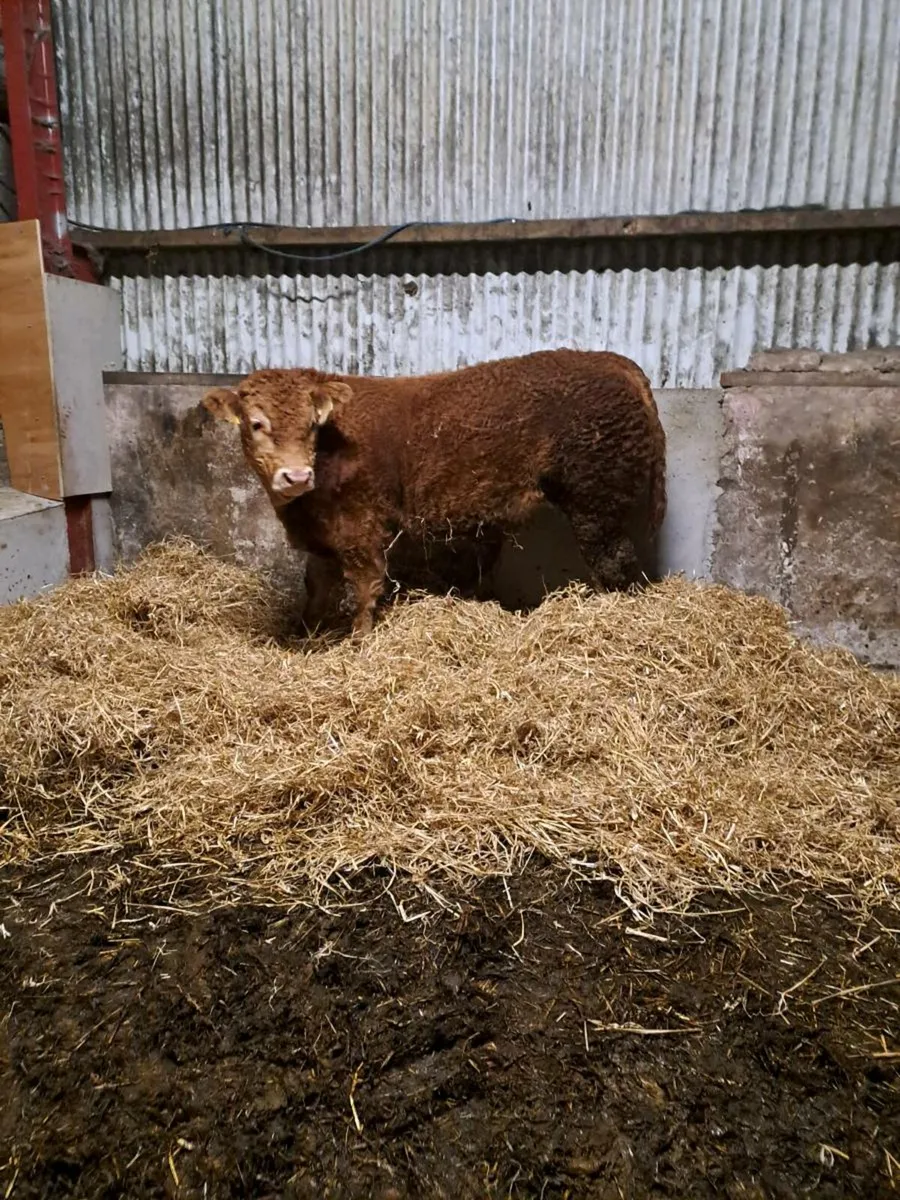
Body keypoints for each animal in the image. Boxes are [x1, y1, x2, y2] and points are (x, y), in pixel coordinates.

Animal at [201, 349, 667, 635]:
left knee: (617, 565)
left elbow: (366, 586)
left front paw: (358, 640)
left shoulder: (360, 526)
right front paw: (305, 635)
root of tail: (614, 362)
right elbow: (315, 588)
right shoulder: (323, 538)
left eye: (313, 424)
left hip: (597, 504)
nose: (296, 475)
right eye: (256, 423)